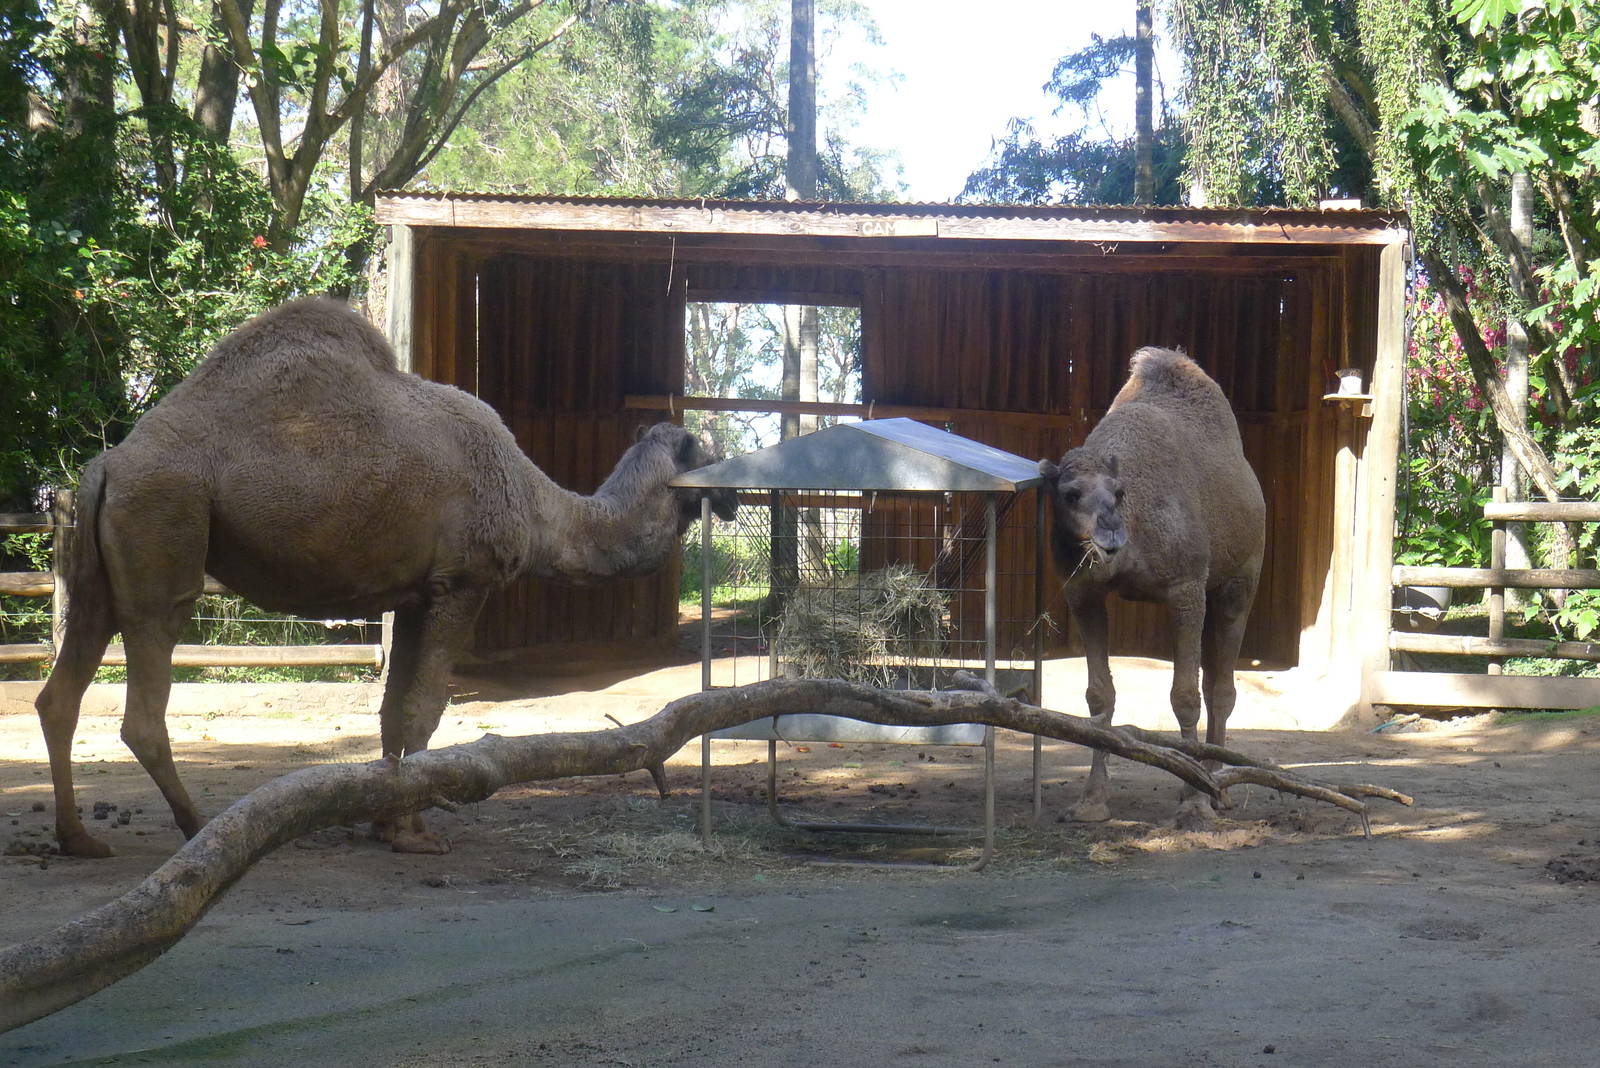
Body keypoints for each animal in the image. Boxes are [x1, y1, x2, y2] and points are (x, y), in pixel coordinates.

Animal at [35, 298, 737, 857]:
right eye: (707, 452)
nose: (733, 495)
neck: (538, 506)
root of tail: (106, 466)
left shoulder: (412, 594)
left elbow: (393, 707)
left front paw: (382, 821)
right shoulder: (463, 582)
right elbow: (425, 707)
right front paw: (413, 832)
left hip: (98, 574)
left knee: (59, 695)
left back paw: (78, 837)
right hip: (164, 532)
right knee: (142, 707)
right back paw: (196, 826)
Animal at [1039, 346, 1264, 829]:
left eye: (1119, 493)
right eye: (1069, 493)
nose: (1110, 535)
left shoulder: (1185, 586)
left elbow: (1184, 697)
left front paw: (1194, 805)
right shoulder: (1082, 593)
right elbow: (1098, 696)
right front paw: (1091, 802)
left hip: (1241, 578)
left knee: (1222, 687)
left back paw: (1219, 791)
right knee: (1214, 679)